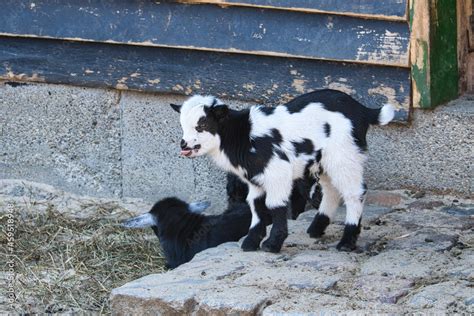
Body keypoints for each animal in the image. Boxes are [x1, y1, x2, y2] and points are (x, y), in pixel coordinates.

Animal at [170, 89, 392, 252]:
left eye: (202, 125)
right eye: (182, 125)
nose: (184, 144)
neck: (242, 135)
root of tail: (363, 111)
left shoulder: (277, 172)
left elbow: (275, 205)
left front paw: (272, 244)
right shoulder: (256, 178)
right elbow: (257, 206)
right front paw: (251, 242)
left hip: (344, 155)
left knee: (354, 193)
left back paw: (347, 241)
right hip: (326, 162)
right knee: (331, 191)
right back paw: (316, 228)